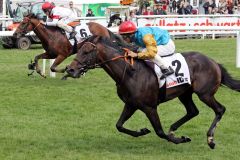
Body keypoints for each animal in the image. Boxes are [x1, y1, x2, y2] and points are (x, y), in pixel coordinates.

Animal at [65, 36, 240, 149]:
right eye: (79, 50)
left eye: (86, 52)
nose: (70, 69)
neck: (130, 72)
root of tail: (213, 62)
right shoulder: (131, 104)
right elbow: (119, 125)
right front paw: (142, 131)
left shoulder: (149, 107)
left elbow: (159, 132)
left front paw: (180, 139)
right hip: (185, 93)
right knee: (193, 111)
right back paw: (174, 128)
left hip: (205, 94)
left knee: (220, 109)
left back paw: (210, 139)